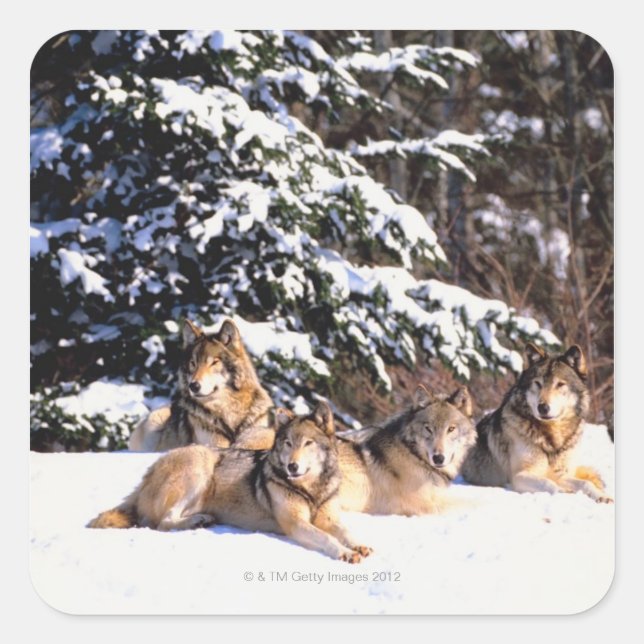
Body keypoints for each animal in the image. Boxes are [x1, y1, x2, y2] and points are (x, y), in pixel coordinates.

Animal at [89, 402, 373, 563]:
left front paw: (359, 545)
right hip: (200, 464)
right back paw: (197, 521)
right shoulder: (296, 523)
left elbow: (345, 531)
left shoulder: (329, 517)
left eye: (308, 443)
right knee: (163, 522)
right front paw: (346, 553)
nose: (292, 466)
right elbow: (327, 538)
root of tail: (146, 475)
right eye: (288, 443)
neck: (311, 489)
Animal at [128, 318, 275, 452]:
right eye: (193, 363)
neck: (229, 412)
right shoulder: (212, 442)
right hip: (156, 420)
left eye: (214, 362)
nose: (193, 386)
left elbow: (260, 438)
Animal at [336, 385, 477, 515]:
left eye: (451, 429)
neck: (413, 454)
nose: (438, 458)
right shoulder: (426, 506)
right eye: (428, 429)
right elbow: (471, 503)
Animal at [461, 343, 612, 503]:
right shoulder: (519, 476)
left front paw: (602, 495)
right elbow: (549, 483)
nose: (543, 407)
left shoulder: (561, 474)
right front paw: (565, 492)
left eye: (560, 384)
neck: (552, 438)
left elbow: (585, 483)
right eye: (538, 383)